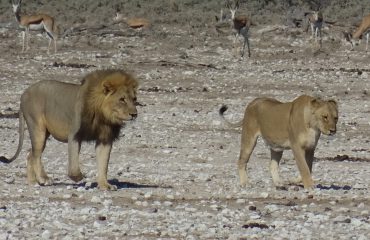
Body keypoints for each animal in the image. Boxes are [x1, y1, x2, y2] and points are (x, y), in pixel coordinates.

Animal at [0, 69, 139, 191]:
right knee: (35, 155)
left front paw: (105, 185)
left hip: (44, 134)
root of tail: (23, 94)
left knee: (30, 154)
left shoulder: (105, 139)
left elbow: (103, 164)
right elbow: (73, 164)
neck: (103, 115)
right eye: (122, 99)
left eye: (134, 99)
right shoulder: (74, 134)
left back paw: (33, 182)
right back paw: (43, 179)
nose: (134, 114)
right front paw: (78, 177)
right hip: (37, 129)